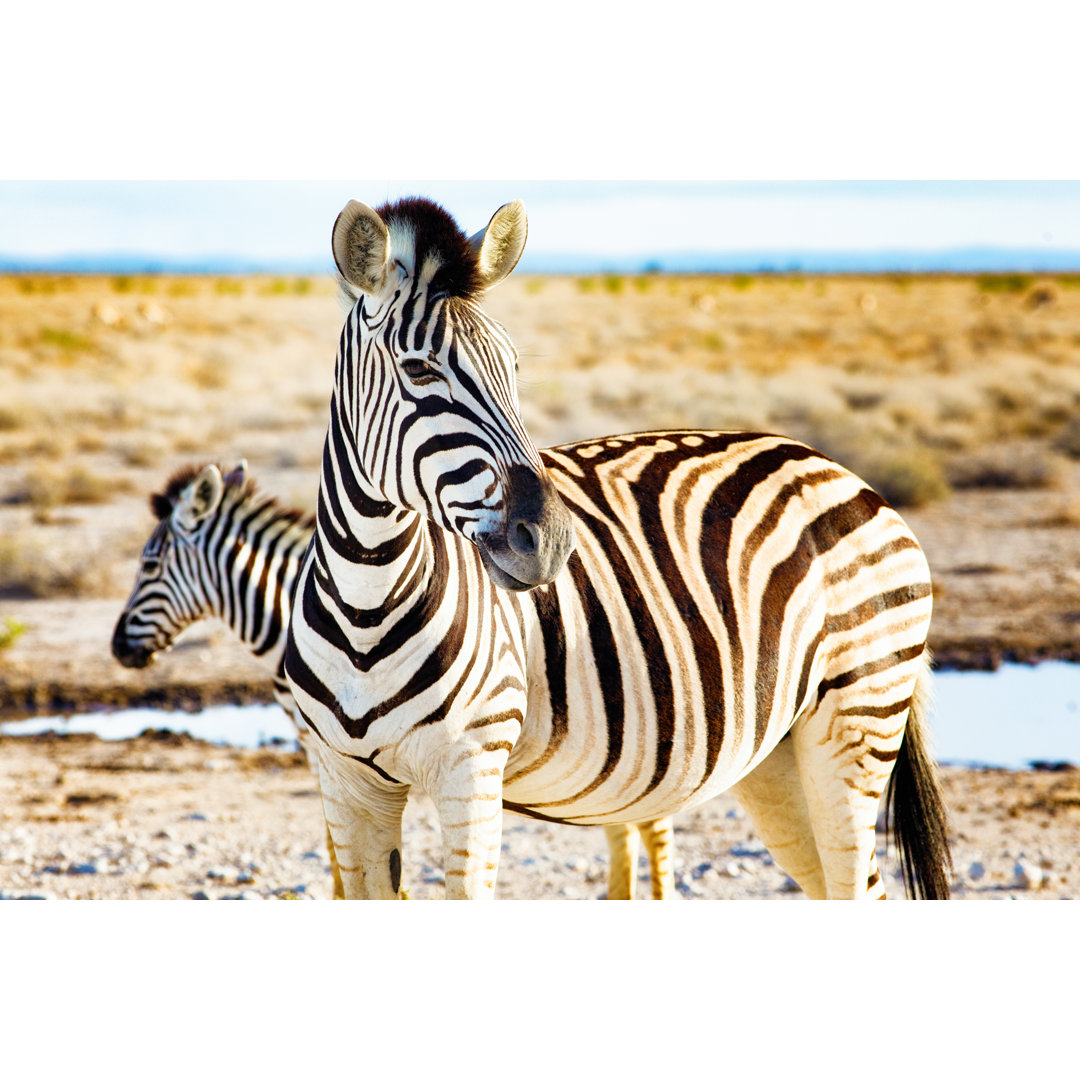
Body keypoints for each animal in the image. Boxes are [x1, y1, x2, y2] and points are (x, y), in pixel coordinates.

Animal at [282, 196, 950, 902]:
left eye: (512, 369)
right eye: (418, 370)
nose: (551, 541)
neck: (367, 605)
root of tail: (843, 471)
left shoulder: (471, 769)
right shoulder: (346, 785)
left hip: (857, 716)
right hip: (777, 755)